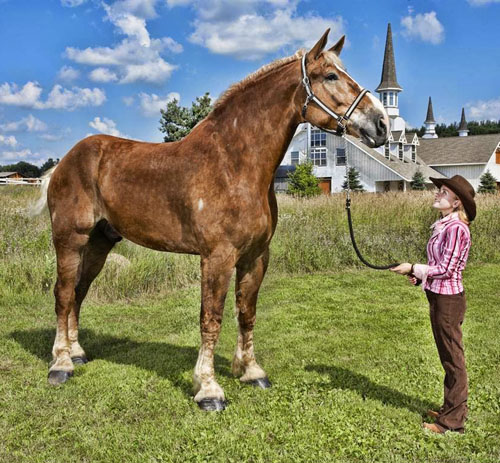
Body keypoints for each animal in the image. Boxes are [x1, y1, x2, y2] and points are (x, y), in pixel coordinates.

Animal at [40, 29, 390, 412]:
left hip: (100, 242)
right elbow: (211, 318)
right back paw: (60, 365)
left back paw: (77, 353)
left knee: (79, 292)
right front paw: (208, 389)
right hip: (70, 238)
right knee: (62, 294)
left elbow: (246, 313)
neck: (233, 166)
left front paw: (251, 372)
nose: (381, 125)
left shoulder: (255, 256)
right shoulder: (217, 257)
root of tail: (65, 161)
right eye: (329, 76)